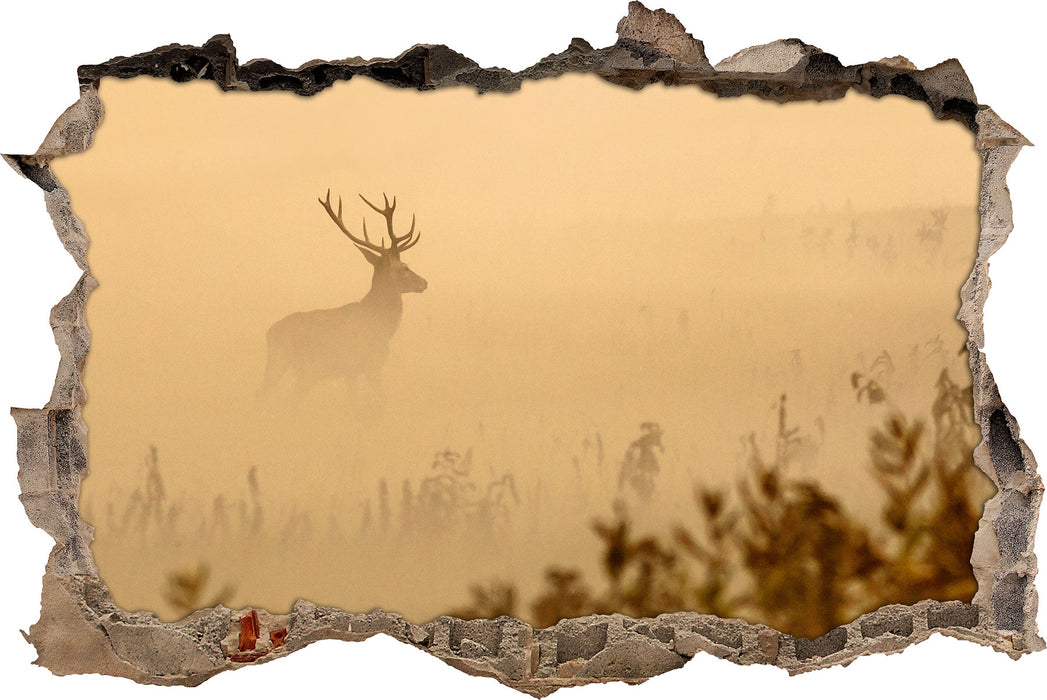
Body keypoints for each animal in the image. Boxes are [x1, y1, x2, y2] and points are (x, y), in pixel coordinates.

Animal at [260, 191, 427, 402]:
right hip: (292, 366)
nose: (424, 282)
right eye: (404, 267)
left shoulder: (351, 372)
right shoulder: (369, 365)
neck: (381, 325)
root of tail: (269, 333)